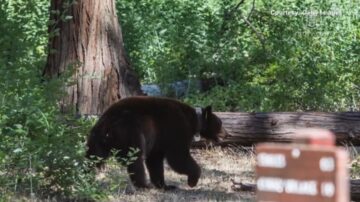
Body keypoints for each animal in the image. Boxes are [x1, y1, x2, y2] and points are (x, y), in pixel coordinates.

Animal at [86, 96, 222, 189]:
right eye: (220, 124)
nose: (225, 133)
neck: (194, 120)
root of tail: (107, 122)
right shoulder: (176, 128)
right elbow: (178, 157)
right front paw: (192, 180)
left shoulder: (160, 139)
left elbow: (155, 160)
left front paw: (165, 186)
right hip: (130, 130)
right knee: (136, 158)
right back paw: (144, 185)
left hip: (97, 139)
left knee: (93, 158)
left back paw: (86, 177)